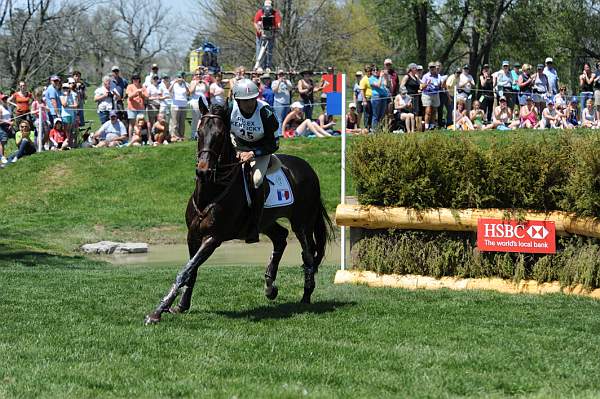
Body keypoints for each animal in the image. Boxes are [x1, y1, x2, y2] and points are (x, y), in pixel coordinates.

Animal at [145, 104, 332, 324]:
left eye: (220, 135)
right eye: (199, 133)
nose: (203, 171)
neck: (211, 191)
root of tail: (309, 169)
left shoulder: (213, 238)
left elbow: (185, 271)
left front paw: (158, 311)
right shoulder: (193, 235)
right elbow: (192, 270)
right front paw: (181, 305)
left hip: (301, 222)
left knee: (308, 254)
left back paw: (306, 295)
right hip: (266, 222)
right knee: (281, 238)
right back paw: (270, 287)